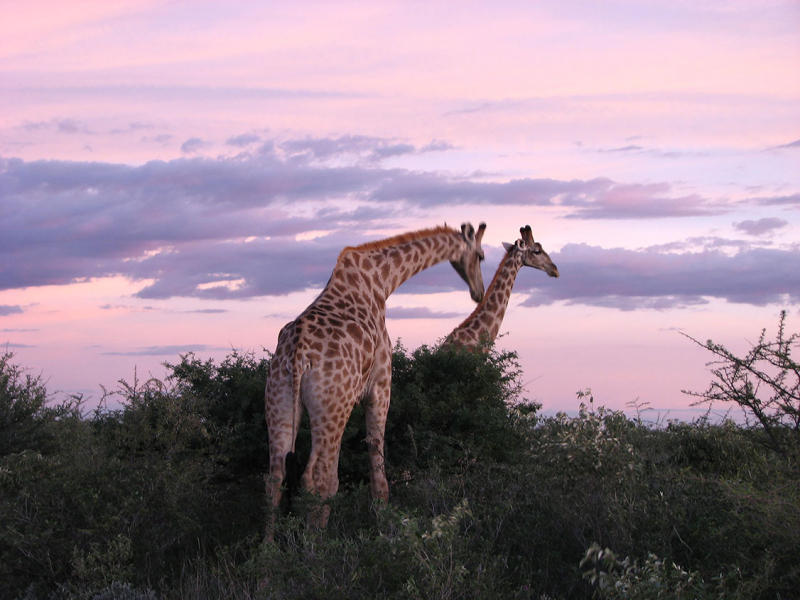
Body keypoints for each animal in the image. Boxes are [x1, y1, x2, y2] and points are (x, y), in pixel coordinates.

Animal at [266, 223, 484, 528]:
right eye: (481, 256)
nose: (479, 291)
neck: (382, 279)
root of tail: (297, 356)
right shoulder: (381, 385)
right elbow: (377, 468)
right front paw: (384, 524)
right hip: (331, 407)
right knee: (316, 477)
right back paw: (315, 539)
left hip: (280, 398)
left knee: (276, 478)